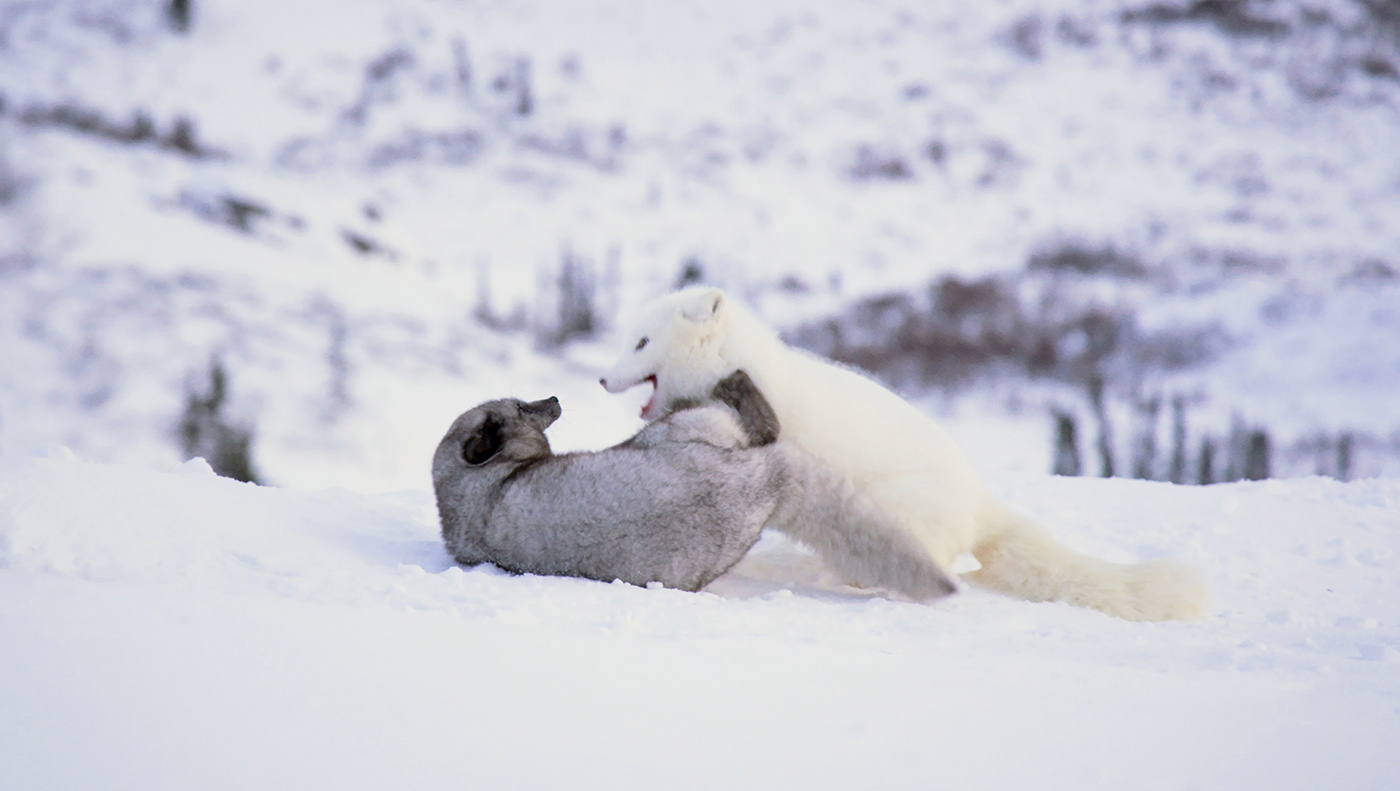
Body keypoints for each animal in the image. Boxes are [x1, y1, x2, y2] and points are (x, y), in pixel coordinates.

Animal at [431, 369, 957, 599]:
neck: (476, 496)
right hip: (685, 432)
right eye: (522, 407)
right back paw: (733, 378)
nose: (556, 399)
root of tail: (765, 482)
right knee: (766, 423)